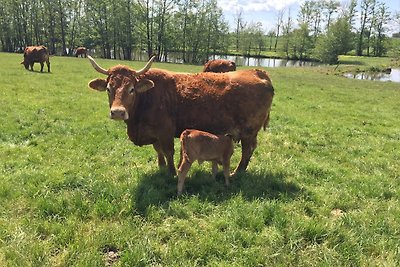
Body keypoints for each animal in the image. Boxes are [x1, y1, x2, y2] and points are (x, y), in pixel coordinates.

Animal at [86, 55, 276, 175]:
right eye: (109, 89)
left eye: (131, 89)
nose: (118, 112)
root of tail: (257, 72)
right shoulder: (154, 134)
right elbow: (158, 151)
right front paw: (161, 167)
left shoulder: (165, 132)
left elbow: (168, 152)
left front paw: (171, 172)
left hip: (248, 131)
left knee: (247, 150)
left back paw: (237, 172)